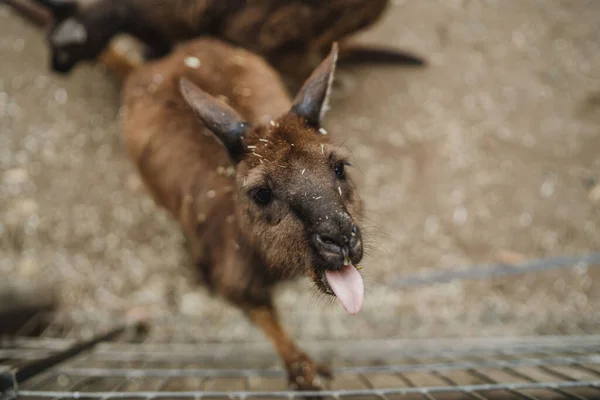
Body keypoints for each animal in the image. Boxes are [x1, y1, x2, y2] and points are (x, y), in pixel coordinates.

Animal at [122, 39, 366, 392]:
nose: (342, 239)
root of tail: (168, 61)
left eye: (339, 168)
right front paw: (303, 368)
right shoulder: (235, 282)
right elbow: (264, 318)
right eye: (261, 193)